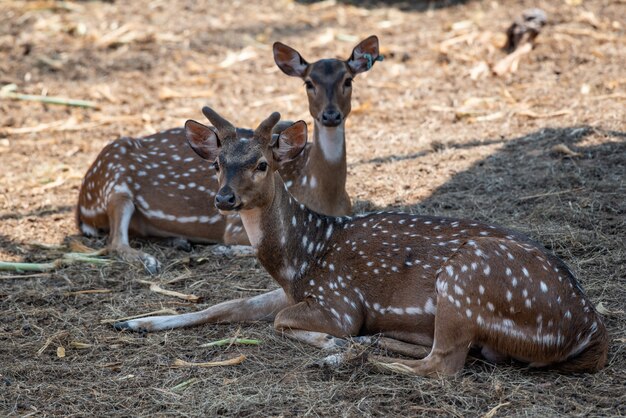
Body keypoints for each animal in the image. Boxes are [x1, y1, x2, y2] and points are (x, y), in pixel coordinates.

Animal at [76, 34, 382, 272]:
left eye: (348, 80)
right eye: (309, 83)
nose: (330, 115)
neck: (323, 194)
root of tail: (80, 206)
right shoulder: (234, 227)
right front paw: (223, 250)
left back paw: (180, 242)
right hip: (114, 182)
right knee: (115, 242)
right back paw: (151, 260)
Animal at [112, 108, 604, 376]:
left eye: (262, 164)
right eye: (217, 164)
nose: (224, 198)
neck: (299, 256)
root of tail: (588, 328)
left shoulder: (338, 301)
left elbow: (283, 323)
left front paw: (332, 345)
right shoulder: (294, 290)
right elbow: (225, 306)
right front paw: (134, 322)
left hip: (466, 281)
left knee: (443, 365)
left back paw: (347, 358)